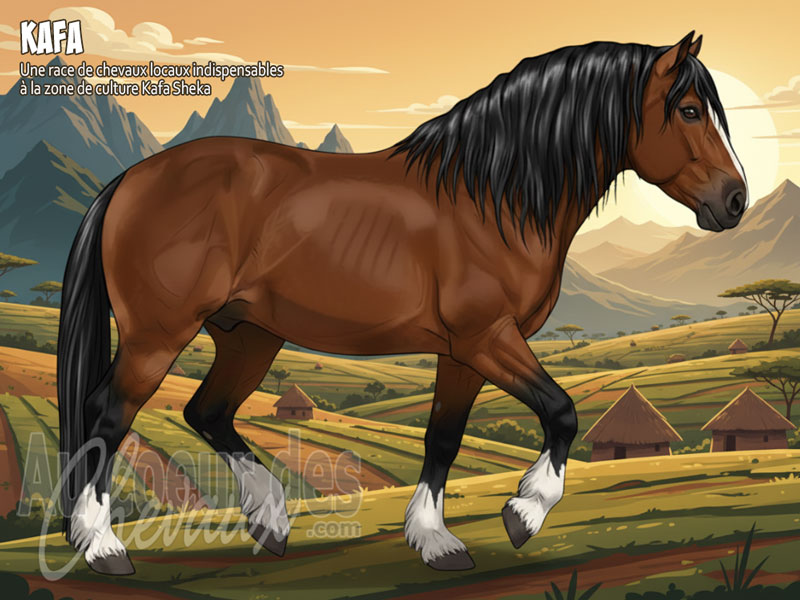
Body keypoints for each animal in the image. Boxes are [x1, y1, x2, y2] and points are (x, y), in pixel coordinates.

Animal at [57, 31, 747, 575]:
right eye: (690, 110)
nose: (736, 200)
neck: (492, 197)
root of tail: (129, 180)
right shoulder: (488, 338)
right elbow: (562, 412)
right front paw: (523, 513)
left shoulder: (464, 354)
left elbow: (442, 439)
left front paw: (436, 540)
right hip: (158, 334)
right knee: (109, 414)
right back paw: (102, 546)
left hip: (249, 334)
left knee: (208, 412)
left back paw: (271, 521)